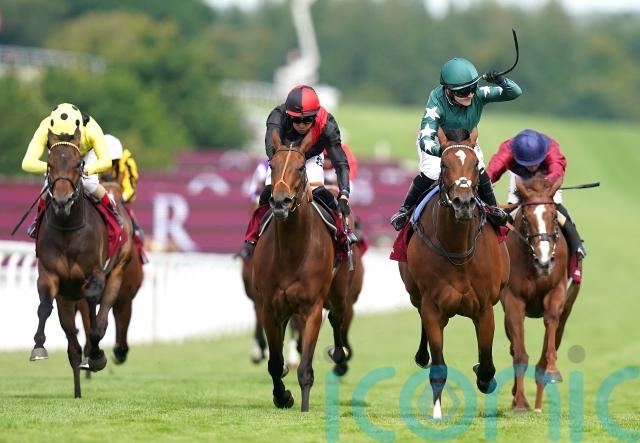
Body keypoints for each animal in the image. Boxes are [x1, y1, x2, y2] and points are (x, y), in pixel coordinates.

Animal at [30, 129, 131, 397]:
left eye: (78, 165)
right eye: (50, 164)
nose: (62, 200)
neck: (68, 229)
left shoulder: (94, 273)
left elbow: (95, 315)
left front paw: (96, 355)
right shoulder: (50, 276)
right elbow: (44, 307)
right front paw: (38, 346)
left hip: (117, 271)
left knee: (103, 315)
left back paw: (94, 353)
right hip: (67, 297)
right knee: (72, 344)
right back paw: (77, 386)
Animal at [252, 129, 352, 412]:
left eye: (300, 167)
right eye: (272, 165)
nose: (280, 202)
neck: (292, 252)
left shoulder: (312, 308)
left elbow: (306, 367)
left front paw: (304, 406)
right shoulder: (269, 307)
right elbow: (275, 363)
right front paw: (282, 396)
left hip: (339, 291)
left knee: (338, 317)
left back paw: (339, 354)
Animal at [398, 128, 510, 419]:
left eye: (475, 164)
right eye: (444, 165)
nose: (463, 202)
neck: (457, 248)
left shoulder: (484, 308)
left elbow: (487, 366)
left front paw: (483, 376)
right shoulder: (432, 306)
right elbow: (438, 365)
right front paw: (437, 411)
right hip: (416, 296)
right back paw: (421, 355)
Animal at [502, 173, 581, 412]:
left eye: (554, 215)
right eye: (526, 218)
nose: (544, 260)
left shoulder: (557, 293)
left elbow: (551, 324)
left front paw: (552, 371)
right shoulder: (513, 299)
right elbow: (519, 351)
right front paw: (519, 401)